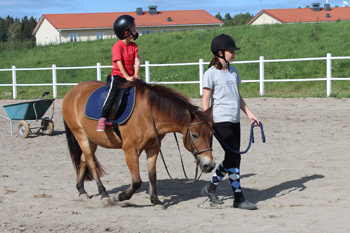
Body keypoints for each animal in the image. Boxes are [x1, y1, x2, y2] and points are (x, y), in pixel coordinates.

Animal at [62, 80, 216, 208]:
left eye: (211, 135)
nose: (209, 165)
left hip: (91, 139)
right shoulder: (130, 150)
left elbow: (152, 175)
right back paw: (104, 195)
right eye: (195, 135)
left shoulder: (153, 148)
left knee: (83, 160)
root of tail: (72, 91)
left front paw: (155, 200)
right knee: (92, 164)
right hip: (81, 136)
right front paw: (120, 196)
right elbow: (136, 181)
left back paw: (82, 190)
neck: (149, 113)